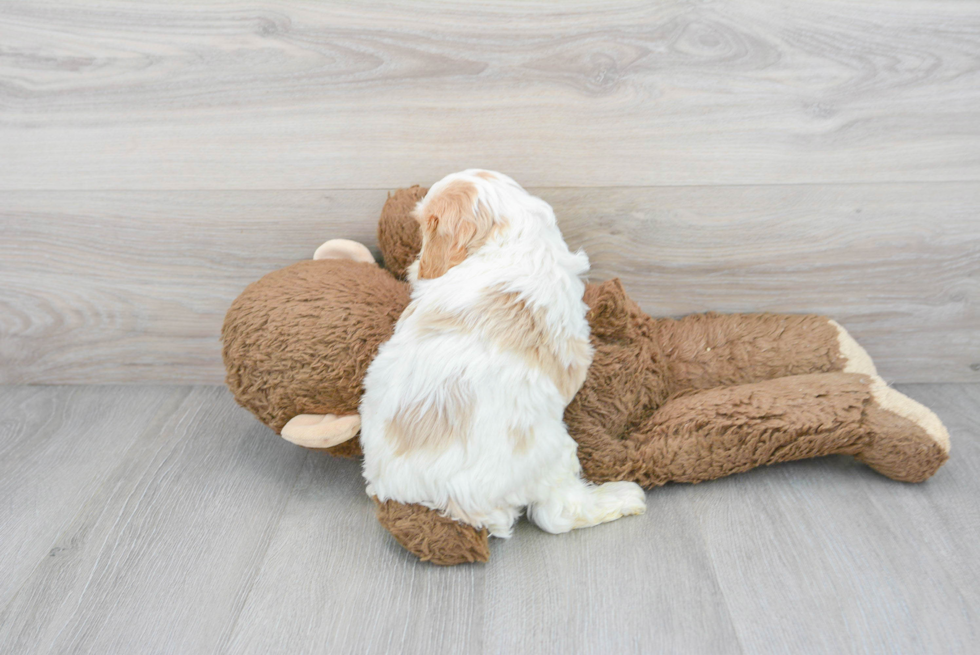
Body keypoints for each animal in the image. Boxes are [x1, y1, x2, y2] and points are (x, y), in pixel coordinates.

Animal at [356, 169, 648, 540]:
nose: (415, 267)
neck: (513, 241)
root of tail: (455, 504)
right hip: (554, 450)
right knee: (559, 514)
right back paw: (623, 496)